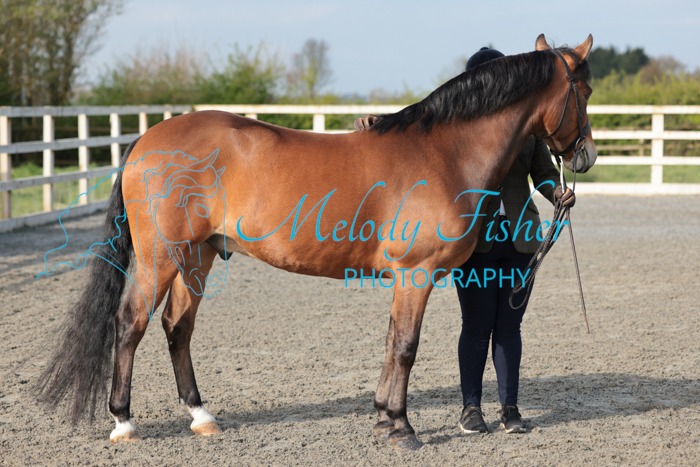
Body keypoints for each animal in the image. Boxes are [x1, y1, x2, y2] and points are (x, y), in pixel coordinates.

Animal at [36, 34, 597, 450]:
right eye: (585, 92)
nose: (586, 156)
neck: (444, 153)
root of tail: (144, 141)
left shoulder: (404, 280)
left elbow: (391, 342)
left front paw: (383, 418)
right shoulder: (415, 274)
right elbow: (407, 347)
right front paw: (402, 428)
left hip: (198, 256)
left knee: (178, 326)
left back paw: (201, 415)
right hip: (161, 256)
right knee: (130, 322)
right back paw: (123, 422)